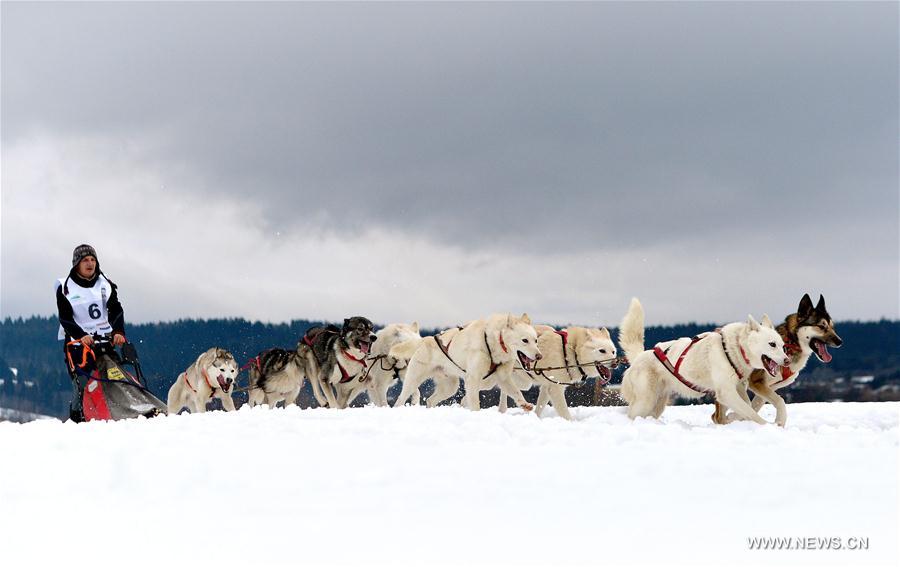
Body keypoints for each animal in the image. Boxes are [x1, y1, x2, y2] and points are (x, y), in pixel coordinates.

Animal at [392, 312, 540, 410]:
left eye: (536, 340)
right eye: (525, 340)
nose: (539, 356)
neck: (495, 341)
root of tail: (427, 339)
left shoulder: (503, 378)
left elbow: (516, 392)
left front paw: (524, 404)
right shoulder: (473, 379)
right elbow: (474, 403)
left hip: (450, 387)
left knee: (430, 400)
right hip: (413, 380)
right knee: (400, 399)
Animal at [620, 298, 788, 426]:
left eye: (782, 346)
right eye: (772, 344)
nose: (787, 360)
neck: (733, 349)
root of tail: (639, 357)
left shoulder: (737, 387)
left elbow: (761, 404)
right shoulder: (726, 392)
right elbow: (751, 412)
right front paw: (767, 426)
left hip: (658, 404)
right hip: (645, 402)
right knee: (632, 414)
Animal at [712, 296, 844, 424]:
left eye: (832, 327)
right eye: (821, 326)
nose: (840, 341)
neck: (790, 344)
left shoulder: (769, 387)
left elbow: (755, 405)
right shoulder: (757, 382)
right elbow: (779, 401)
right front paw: (779, 422)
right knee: (717, 416)